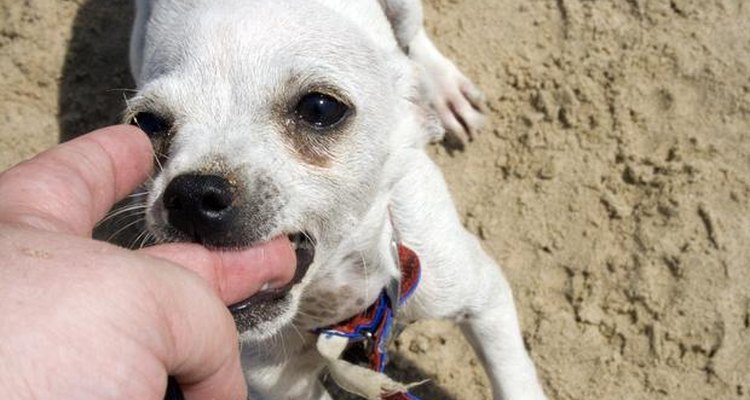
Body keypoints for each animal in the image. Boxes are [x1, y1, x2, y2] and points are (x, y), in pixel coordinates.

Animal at [128, 1, 548, 398]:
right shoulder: (284, 388)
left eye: (320, 108)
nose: (193, 194)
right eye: (144, 124)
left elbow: (515, 380)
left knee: (413, 40)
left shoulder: (484, 296)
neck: (335, 299)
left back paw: (442, 87)